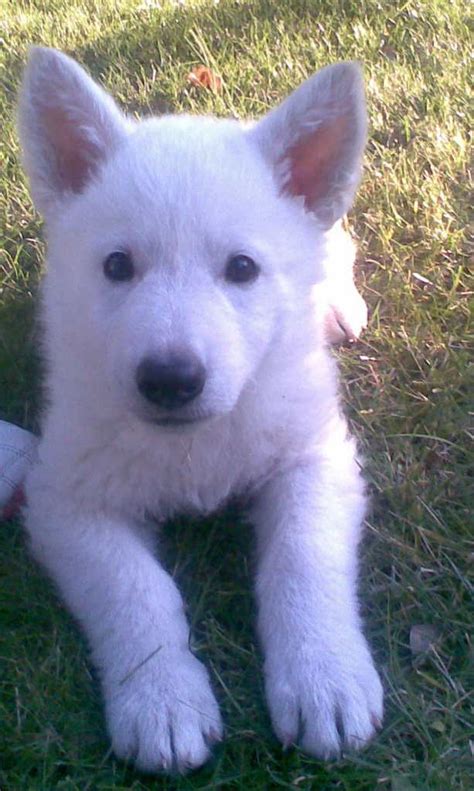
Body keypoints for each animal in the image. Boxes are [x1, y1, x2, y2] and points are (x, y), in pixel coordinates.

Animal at [18, 48, 384, 772]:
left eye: (242, 268)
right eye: (117, 266)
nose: (170, 380)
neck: (195, 444)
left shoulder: (314, 456)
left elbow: (301, 557)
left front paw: (323, 677)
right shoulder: (63, 496)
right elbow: (134, 587)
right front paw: (161, 699)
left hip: (328, 229)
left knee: (338, 244)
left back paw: (336, 304)